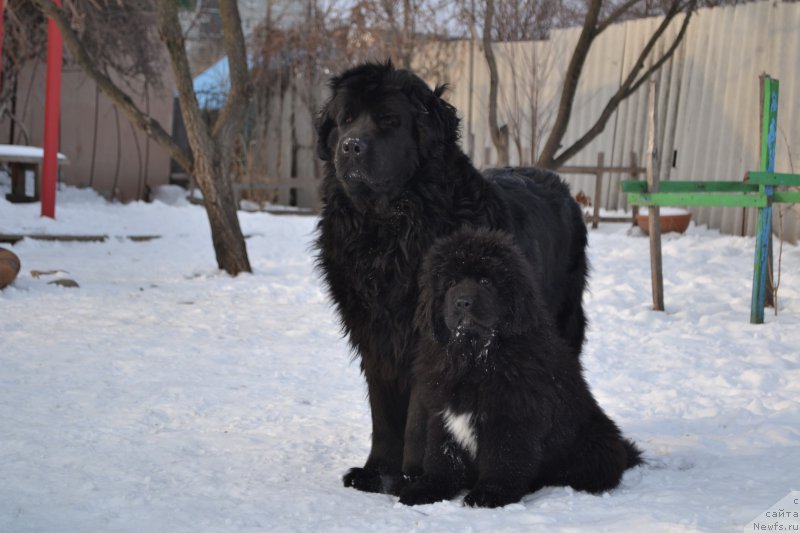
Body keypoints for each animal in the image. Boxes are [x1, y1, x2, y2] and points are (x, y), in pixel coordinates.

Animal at [316, 60, 592, 492]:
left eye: (389, 121)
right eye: (345, 120)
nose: (351, 146)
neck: (387, 231)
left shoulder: (427, 339)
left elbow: (417, 418)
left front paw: (416, 477)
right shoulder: (375, 337)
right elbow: (383, 415)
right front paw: (376, 472)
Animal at [400, 225, 644, 508]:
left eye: (485, 282)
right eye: (450, 283)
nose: (462, 302)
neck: (475, 357)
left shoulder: (512, 415)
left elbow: (503, 460)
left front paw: (489, 495)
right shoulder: (443, 412)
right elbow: (442, 458)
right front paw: (427, 489)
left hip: (594, 443)